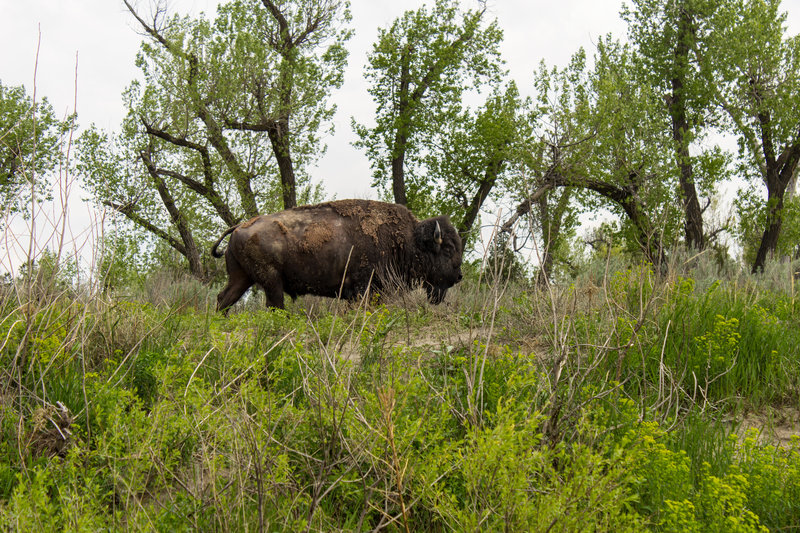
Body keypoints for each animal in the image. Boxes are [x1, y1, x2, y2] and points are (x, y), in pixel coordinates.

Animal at [209, 198, 466, 312]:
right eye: (448, 249)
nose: (459, 276)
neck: (408, 239)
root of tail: (240, 226)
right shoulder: (366, 288)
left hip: (241, 277)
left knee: (224, 298)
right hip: (271, 281)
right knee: (274, 305)